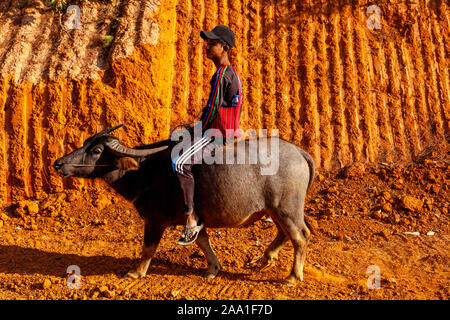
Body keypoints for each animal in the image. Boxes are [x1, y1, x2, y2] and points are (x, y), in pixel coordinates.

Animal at [54, 125, 314, 284]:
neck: (144, 171)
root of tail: (299, 152)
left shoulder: (155, 220)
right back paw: (267, 257)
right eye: (86, 143)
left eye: (97, 150)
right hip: (275, 209)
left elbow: (148, 248)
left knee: (300, 236)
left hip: (287, 209)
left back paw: (292, 276)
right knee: (284, 233)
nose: (58, 163)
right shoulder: (195, 221)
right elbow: (202, 241)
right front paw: (212, 268)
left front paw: (136, 272)